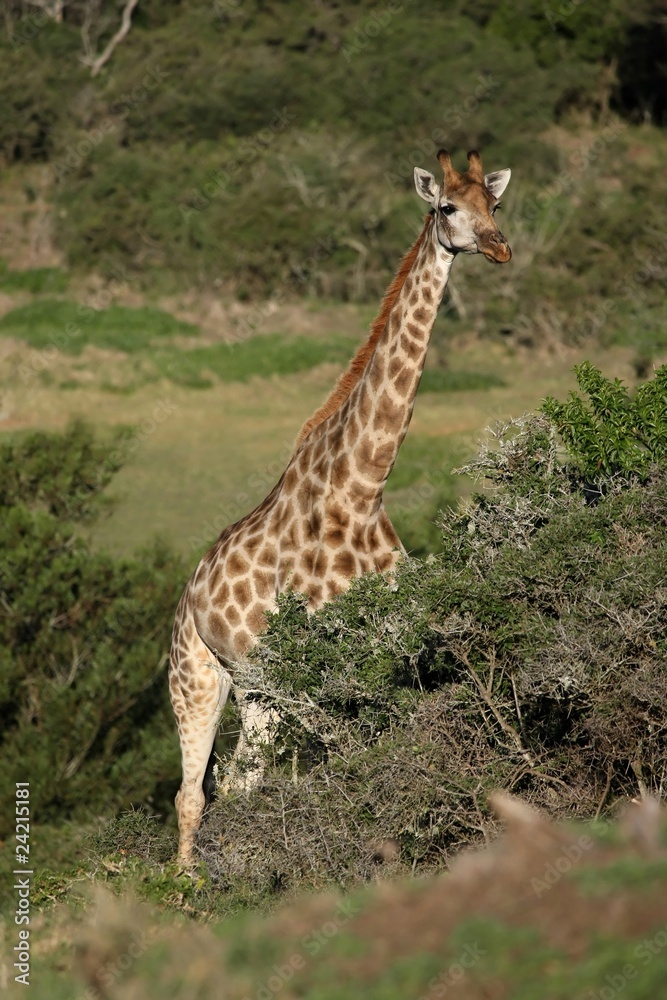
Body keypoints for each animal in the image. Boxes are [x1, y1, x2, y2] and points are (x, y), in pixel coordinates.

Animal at [170, 149, 512, 863]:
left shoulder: (390, 644)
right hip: (200, 678)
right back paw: (183, 886)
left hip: (261, 691)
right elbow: (351, 763)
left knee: (237, 784)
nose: (499, 247)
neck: (362, 486)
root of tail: (189, 594)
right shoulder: (320, 663)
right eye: (447, 207)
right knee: (193, 795)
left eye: (496, 205)